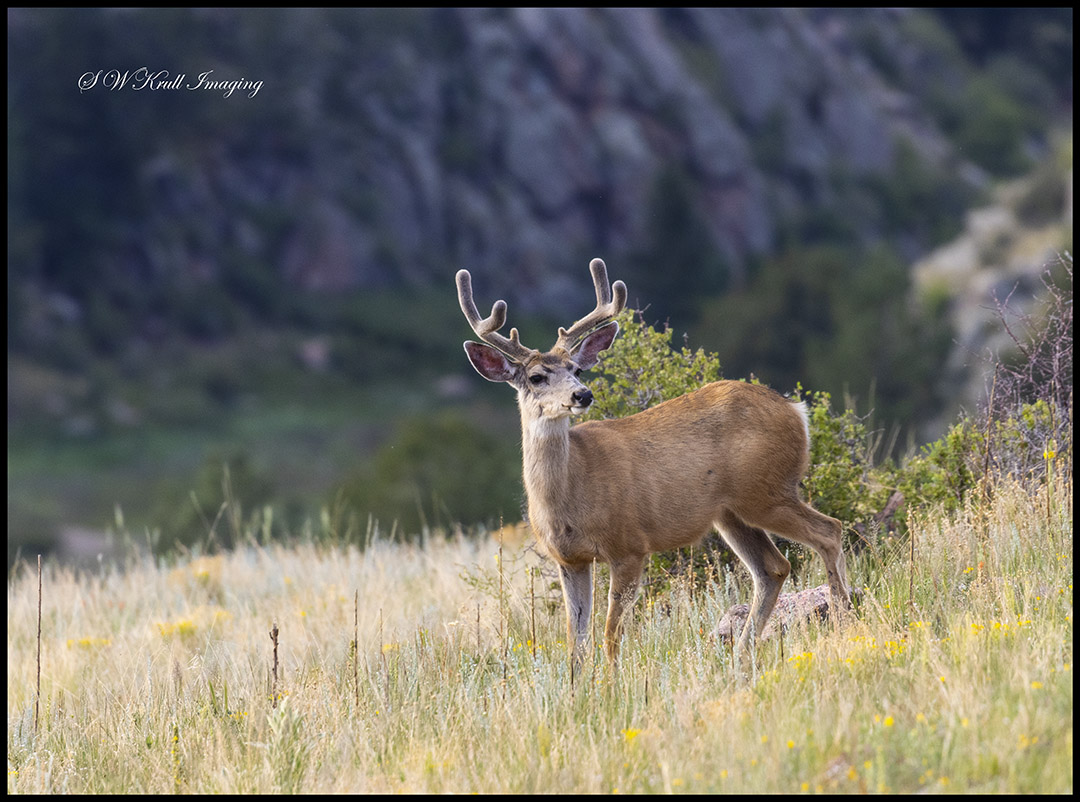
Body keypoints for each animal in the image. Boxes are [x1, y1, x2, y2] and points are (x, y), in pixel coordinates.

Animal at [456, 258, 851, 666]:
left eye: (576, 369)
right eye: (536, 377)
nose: (583, 394)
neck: (571, 493)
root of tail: (797, 410)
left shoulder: (630, 545)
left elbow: (611, 634)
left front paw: (612, 681)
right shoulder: (569, 559)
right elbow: (576, 643)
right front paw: (580, 682)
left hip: (766, 491)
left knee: (829, 531)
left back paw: (842, 621)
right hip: (731, 512)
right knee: (774, 567)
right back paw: (742, 655)